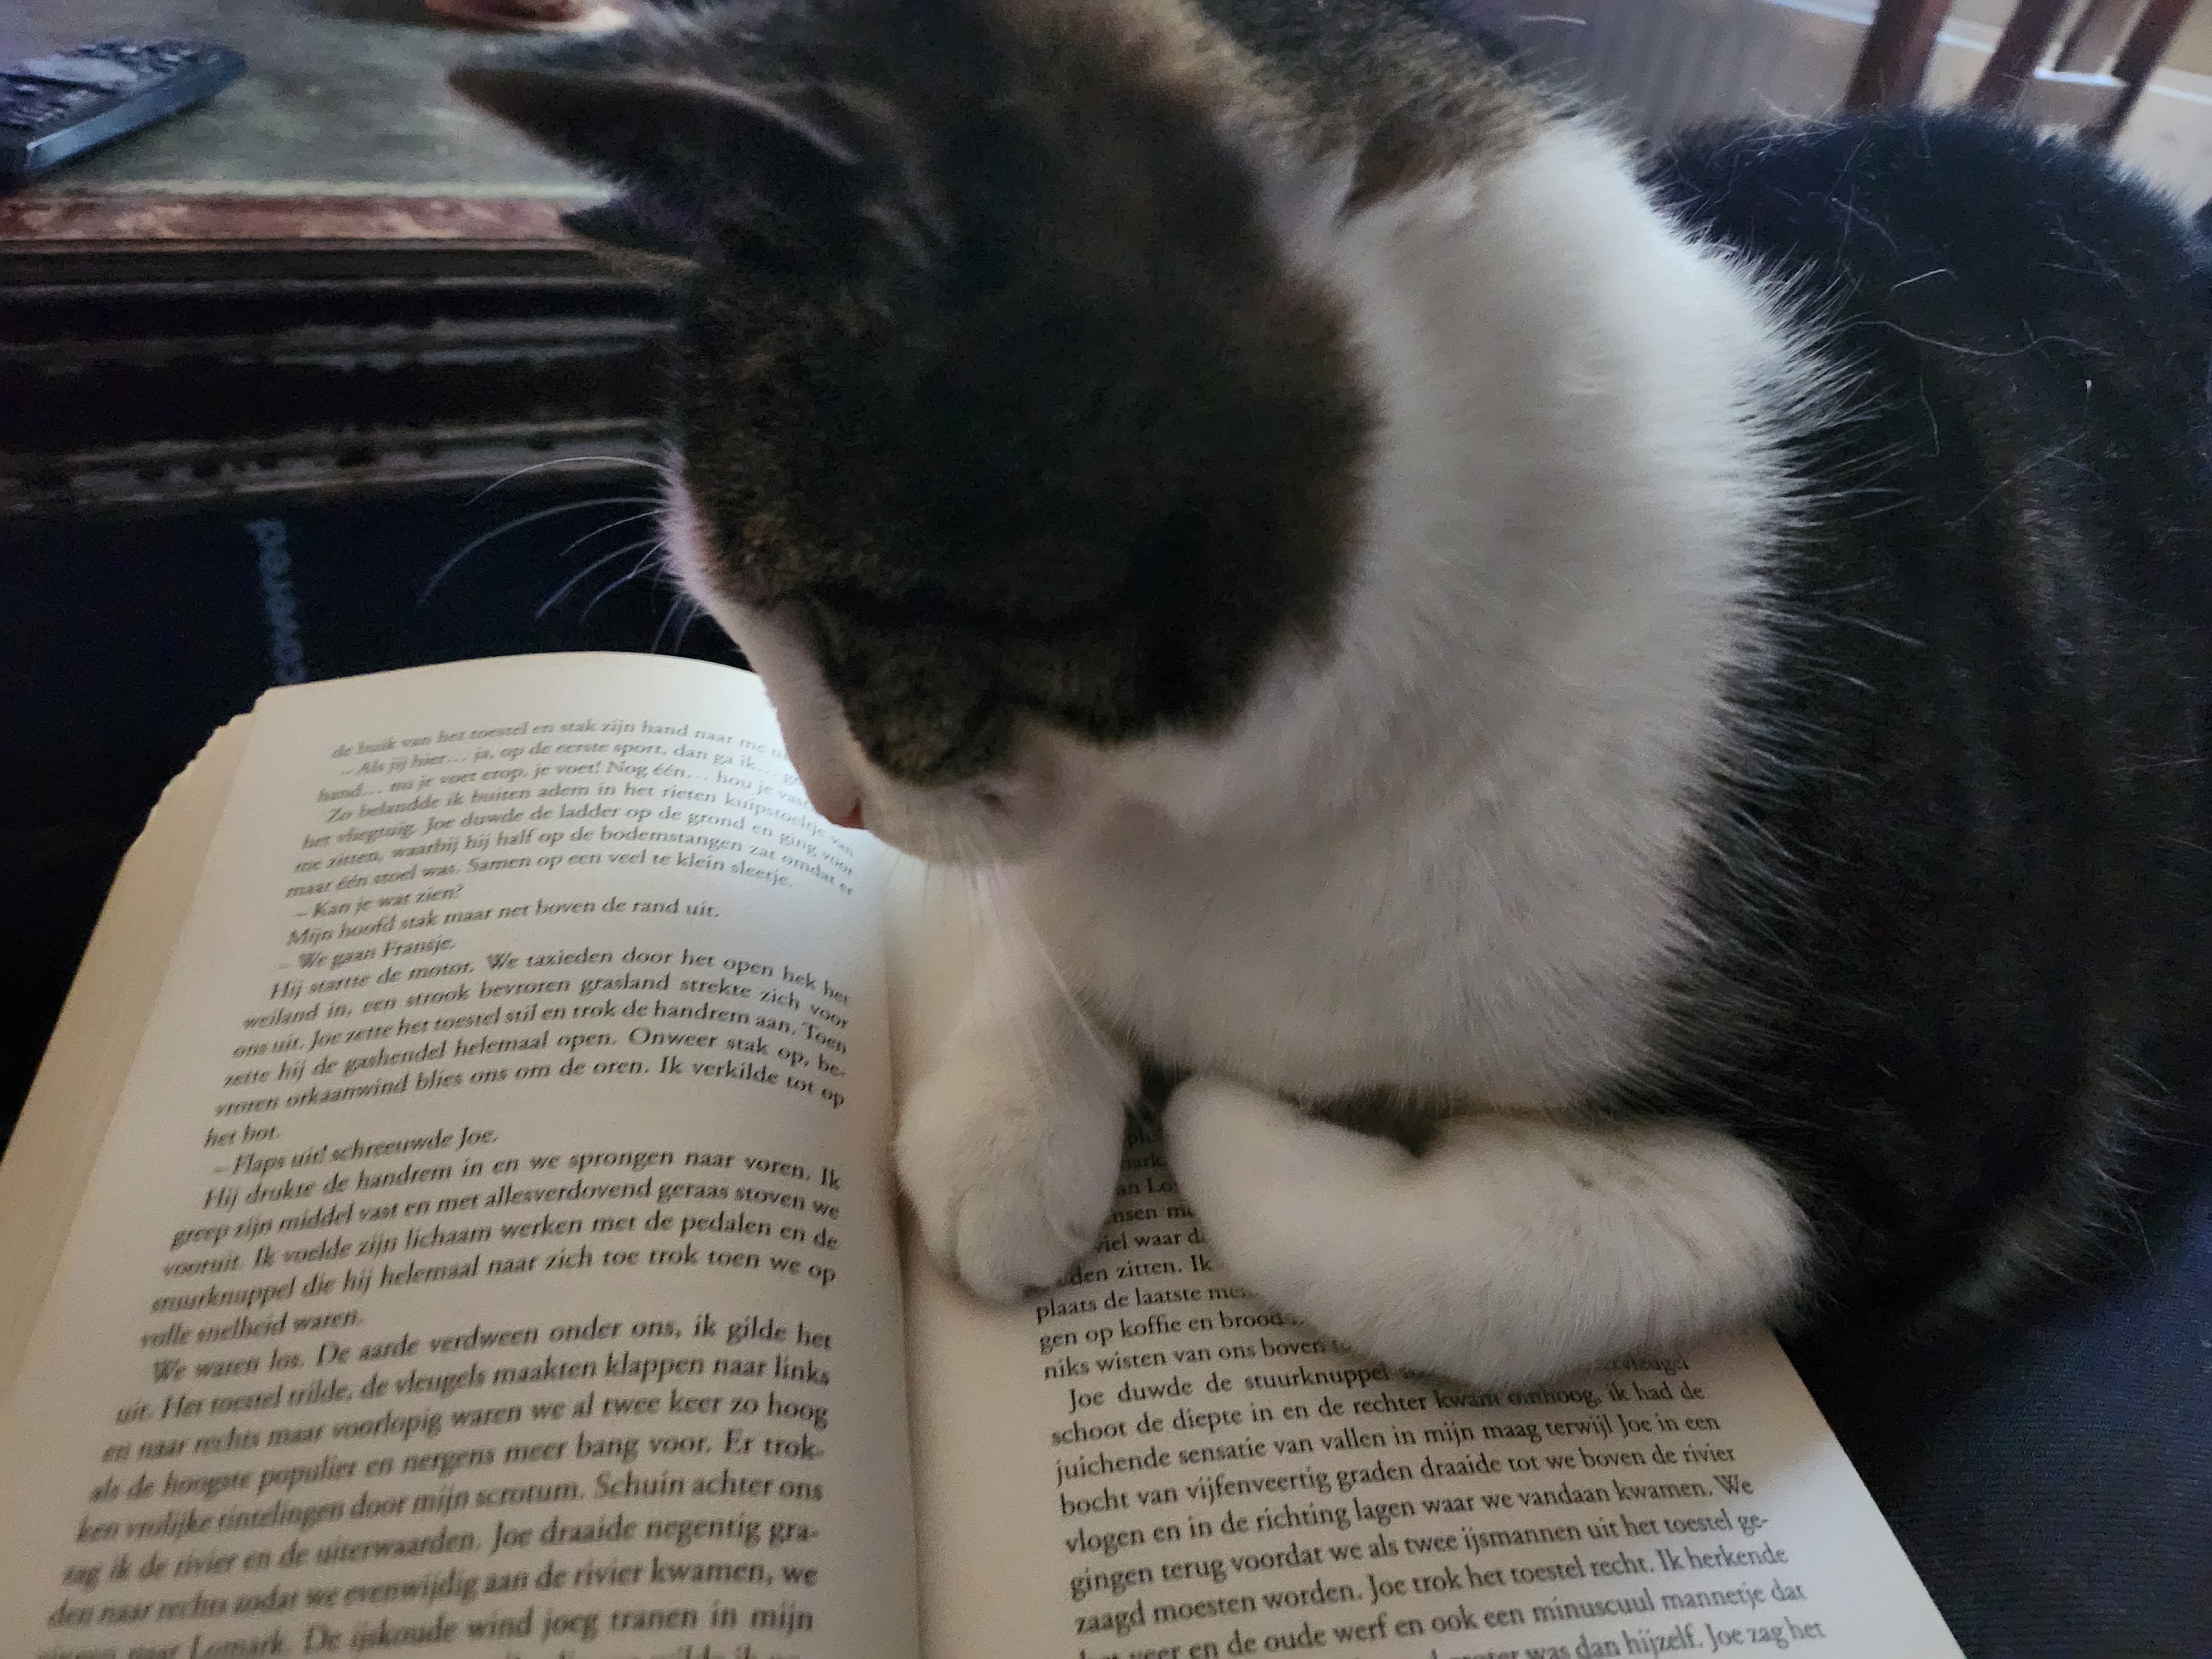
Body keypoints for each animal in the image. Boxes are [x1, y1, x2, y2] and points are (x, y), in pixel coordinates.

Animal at [455, 0, 2212, 1386]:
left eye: (831, 612)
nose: (826, 798)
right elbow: (1045, 930)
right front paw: (1005, 1130)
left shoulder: (1955, 1131)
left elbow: (1494, 1264)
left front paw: (1236, 1114)